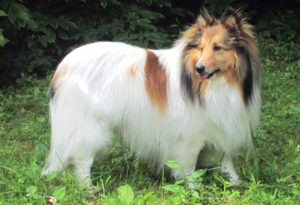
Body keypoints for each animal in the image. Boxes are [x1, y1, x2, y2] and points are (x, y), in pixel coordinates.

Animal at [41, 8, 260, 185]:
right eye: (200, 48)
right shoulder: (189, 135)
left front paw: (234, 180)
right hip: (90, 126)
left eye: (217, 48)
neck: (214, 84)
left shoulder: (224, 124)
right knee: (82, 159)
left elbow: (226, 158)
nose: (199, 68)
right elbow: (189, 166)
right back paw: (88, 188)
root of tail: (63, 65)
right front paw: (193, 187)